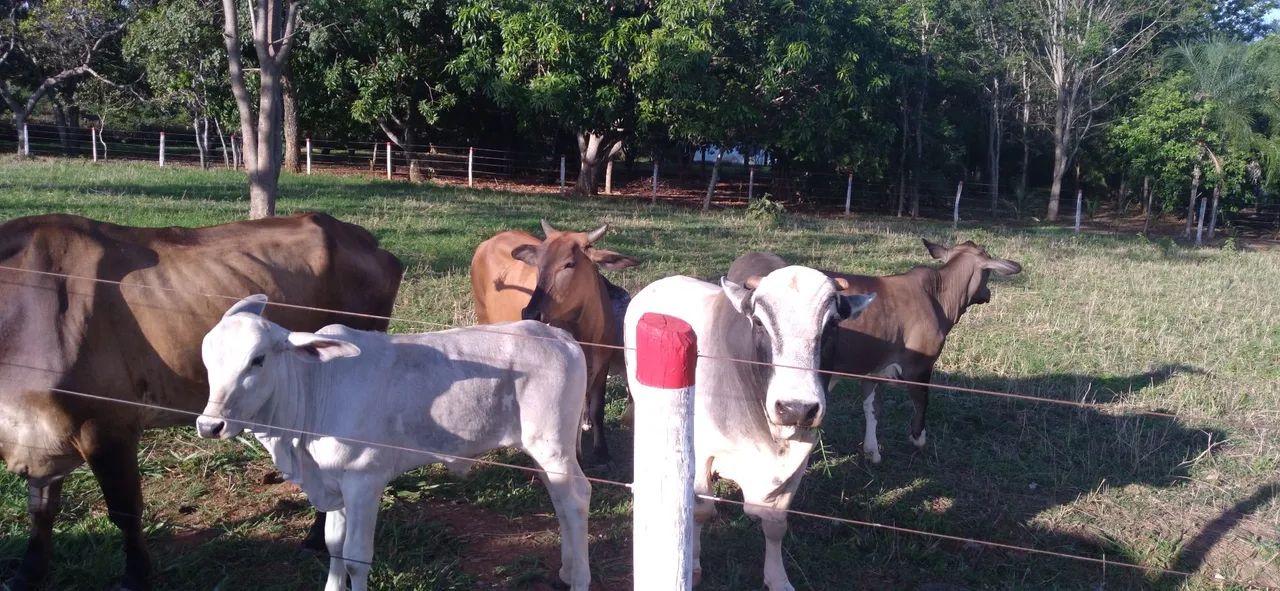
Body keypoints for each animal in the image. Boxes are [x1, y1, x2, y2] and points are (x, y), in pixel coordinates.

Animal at [0, 213, 403, 590]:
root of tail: (365, 240)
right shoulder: (40, 432)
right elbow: (41, 508)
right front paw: (27, 574)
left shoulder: (106, 424)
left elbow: (124, 510)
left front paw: (135, 576)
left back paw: (317, 537)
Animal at [195, 295, 592, 591]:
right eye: (207, 357)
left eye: (257, 360)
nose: (210, 425)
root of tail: (560, 336)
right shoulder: (335, 484)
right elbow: (333, 544)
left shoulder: (364, 480)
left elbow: (356, 557)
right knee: (560, 499)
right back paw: (567, 569)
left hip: (552, 446)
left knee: (576, 498)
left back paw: (580, 579)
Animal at [470, 220, 639, 465]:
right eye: (539, 264)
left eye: (569, 263)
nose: (531, 312)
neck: (585, 334)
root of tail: (488, 242)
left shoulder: (602, 365)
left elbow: (597, 408)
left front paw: (602, 450)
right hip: (483, 316)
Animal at [624, 266, 875, 591]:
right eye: (758, 322)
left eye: (832, 325)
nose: (796, 408)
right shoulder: (702, 454)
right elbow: (701, 511)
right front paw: (693, 564)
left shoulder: (797, 460)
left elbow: (776, 524)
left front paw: (778, 578)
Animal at [726, 240, 1022, 463]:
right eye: (988, 271)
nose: (988, 293)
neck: (938, 296)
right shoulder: (919, 366)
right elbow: (921, 401)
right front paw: (918, 438)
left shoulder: (873, 368)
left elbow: (872, 407)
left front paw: (872, 450)